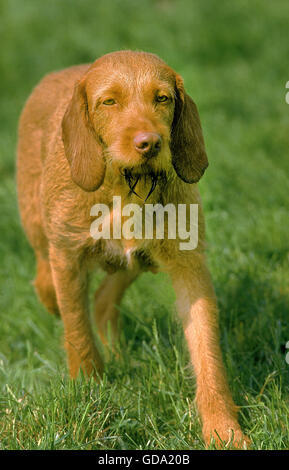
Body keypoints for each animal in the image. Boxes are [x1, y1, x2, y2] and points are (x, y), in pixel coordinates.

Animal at [16, 50, 249, 448]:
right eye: (109, 102)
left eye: (163, 98)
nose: (149, 143)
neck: (123, 187)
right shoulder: (68, 258)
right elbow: (77, 331)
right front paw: (88, 390)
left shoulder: (189, 266)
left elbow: (208, 353)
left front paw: (224, 430)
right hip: (35, 222)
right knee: (45, 274)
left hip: (140, 260)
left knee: (103, 299)